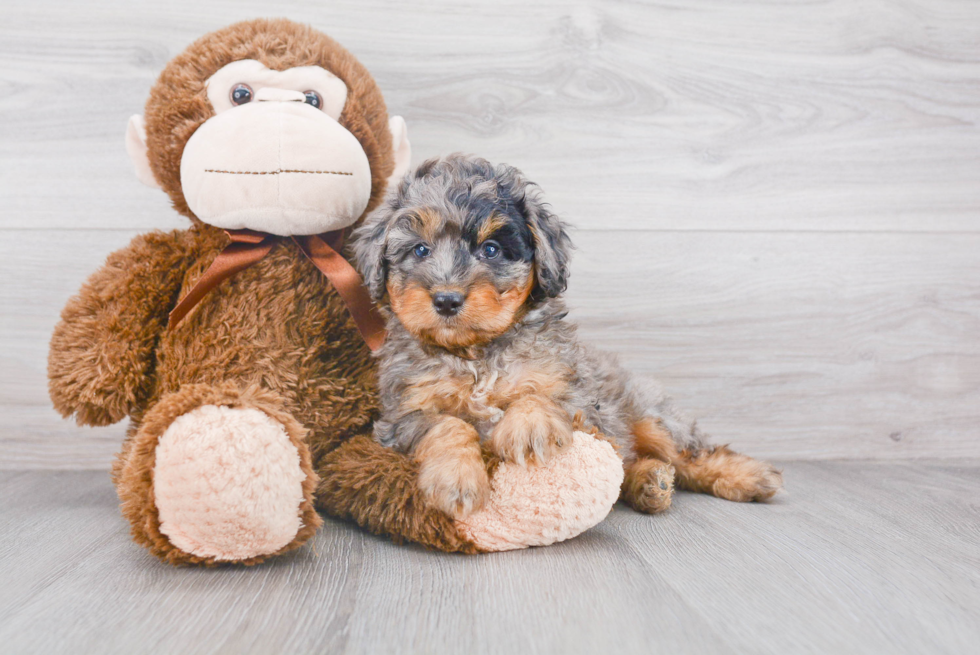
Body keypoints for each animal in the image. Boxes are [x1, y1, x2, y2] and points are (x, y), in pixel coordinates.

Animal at [352, 156, 780, 520]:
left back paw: (749, 476)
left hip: (647, 414)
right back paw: (650, 483)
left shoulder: (582, 399)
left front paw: (529, 426)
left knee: (689, 452)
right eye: (420, 250)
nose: (446, 299)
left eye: (490, 249)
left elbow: (542, 393)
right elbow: (446, 425)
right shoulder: (401, 416)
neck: (477, 355)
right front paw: (456, 479)